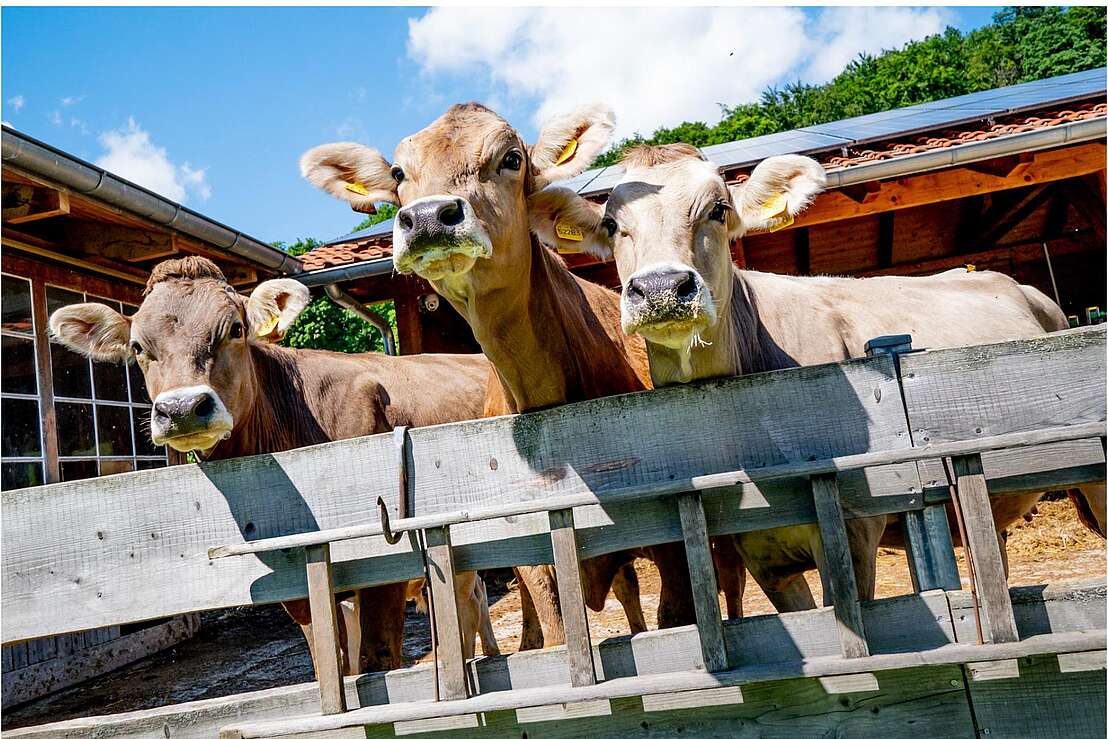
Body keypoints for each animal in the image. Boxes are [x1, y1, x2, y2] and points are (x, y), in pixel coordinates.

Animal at [48, 256, 500, 676]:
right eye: (139, 347)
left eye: (235, 329)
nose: (182, 408)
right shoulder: (302, 596)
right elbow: (335, 667)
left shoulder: (384, 572)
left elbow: (378, 664)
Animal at [299, 103, 752, 644]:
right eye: (398, 174)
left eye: (511, 158)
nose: (428, 216)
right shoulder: (531, 549)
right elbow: (557, 636)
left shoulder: (672, 539)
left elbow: (679, 620)